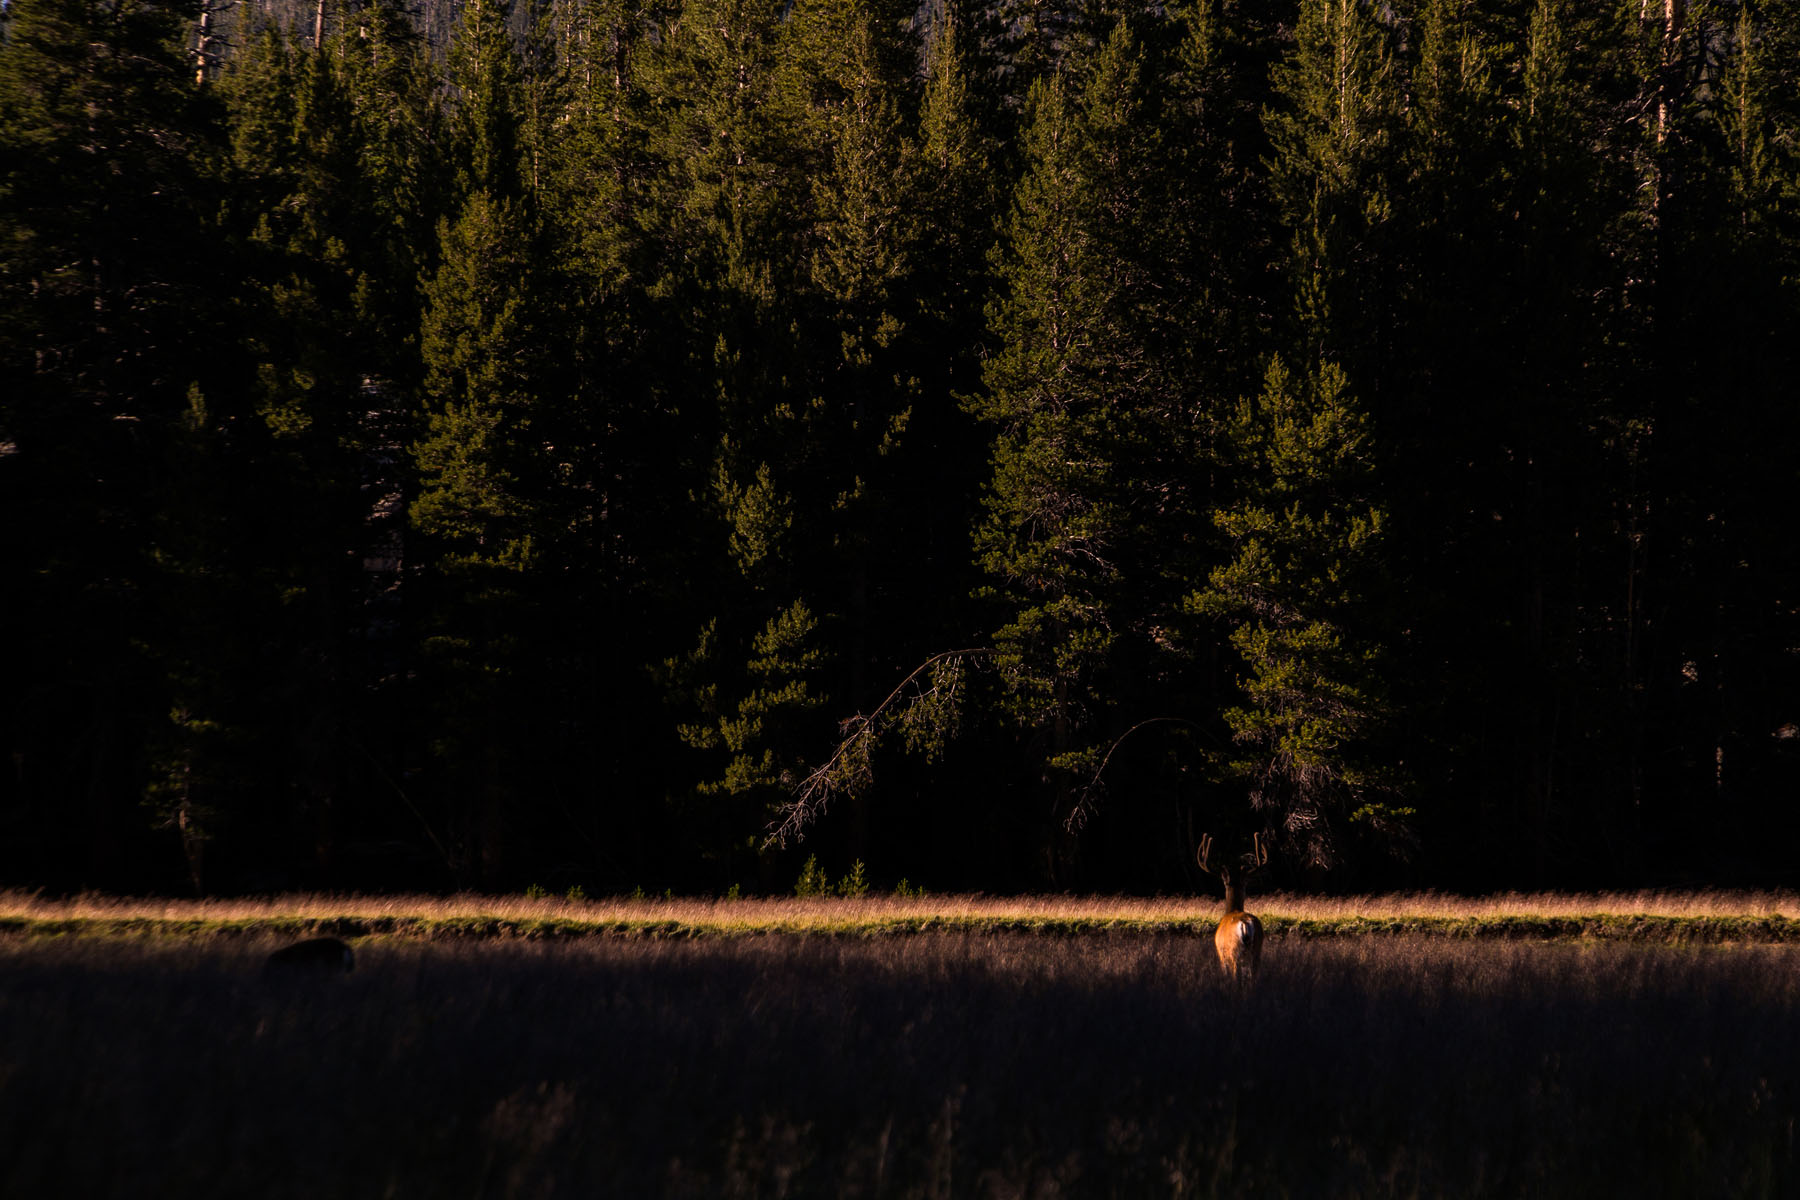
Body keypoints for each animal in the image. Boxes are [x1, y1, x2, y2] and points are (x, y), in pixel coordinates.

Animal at [1195, 834, 1267, 985]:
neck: (1232, 910)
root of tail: (1245, 923)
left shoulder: (1221, 955)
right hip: (1257, 950)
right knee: (1253, 976)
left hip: (1233, 952)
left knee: (1236, 976)